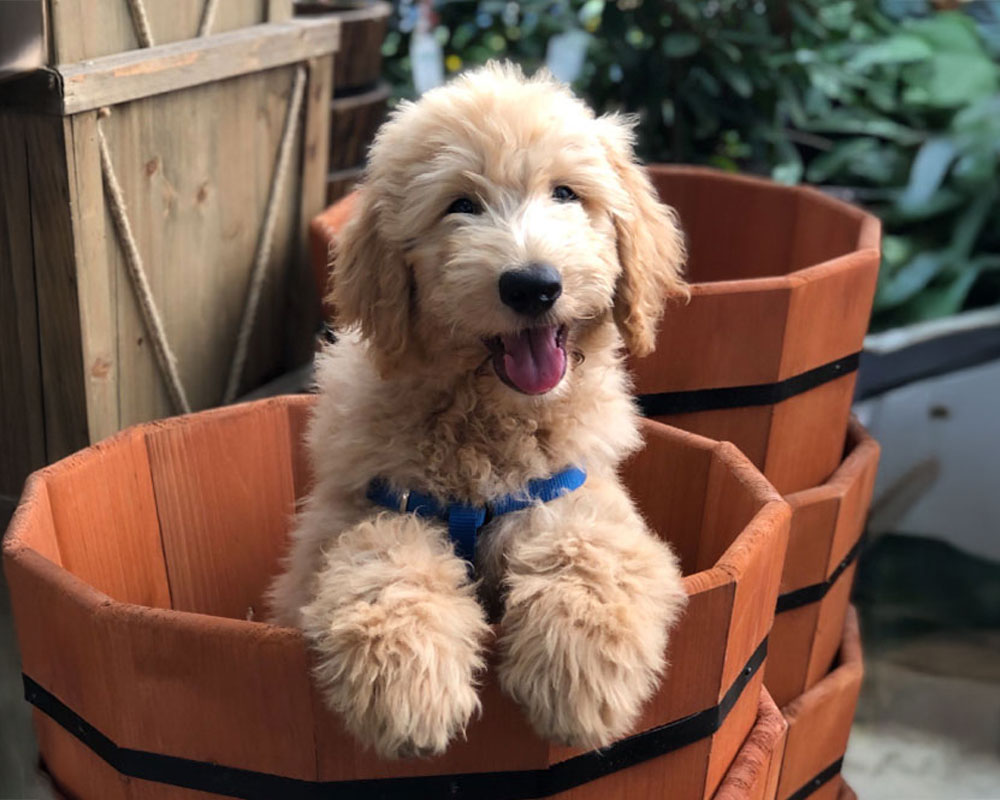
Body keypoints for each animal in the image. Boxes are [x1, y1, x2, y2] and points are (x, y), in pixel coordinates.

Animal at [268, 63, 689, 760]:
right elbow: (387, 556)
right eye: (460, 205)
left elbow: (590, 546)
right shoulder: (364, 508)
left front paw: (577, 673)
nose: (533, 285)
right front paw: (408, 682)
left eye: (565, 194)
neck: (488, 425)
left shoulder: (578, 491)